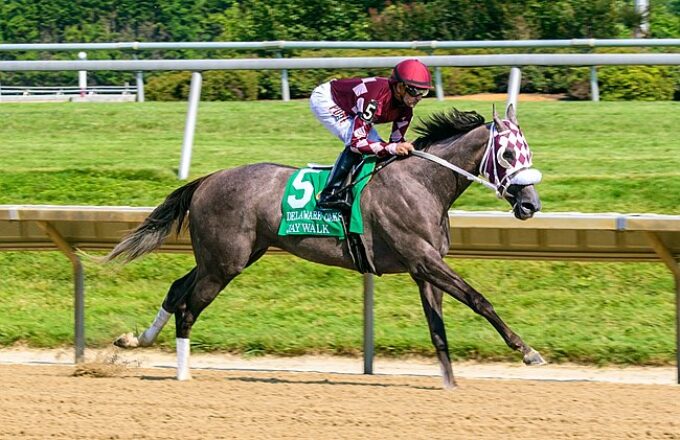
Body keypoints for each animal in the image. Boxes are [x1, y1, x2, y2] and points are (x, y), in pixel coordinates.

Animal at [109, 104, 544, 388]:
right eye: (507, 153)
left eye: (528, 151)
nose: (530, 205)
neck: (422, 183)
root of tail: (207, 179)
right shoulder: (423, 259)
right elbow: (479, 300)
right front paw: (527, 352)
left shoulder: (423, 268)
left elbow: (437, 328)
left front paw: (451, 386)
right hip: (225, 263)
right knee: (187, 307)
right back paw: (183, 374)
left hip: (225, 257)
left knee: (176, 289)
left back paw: (136, 340)